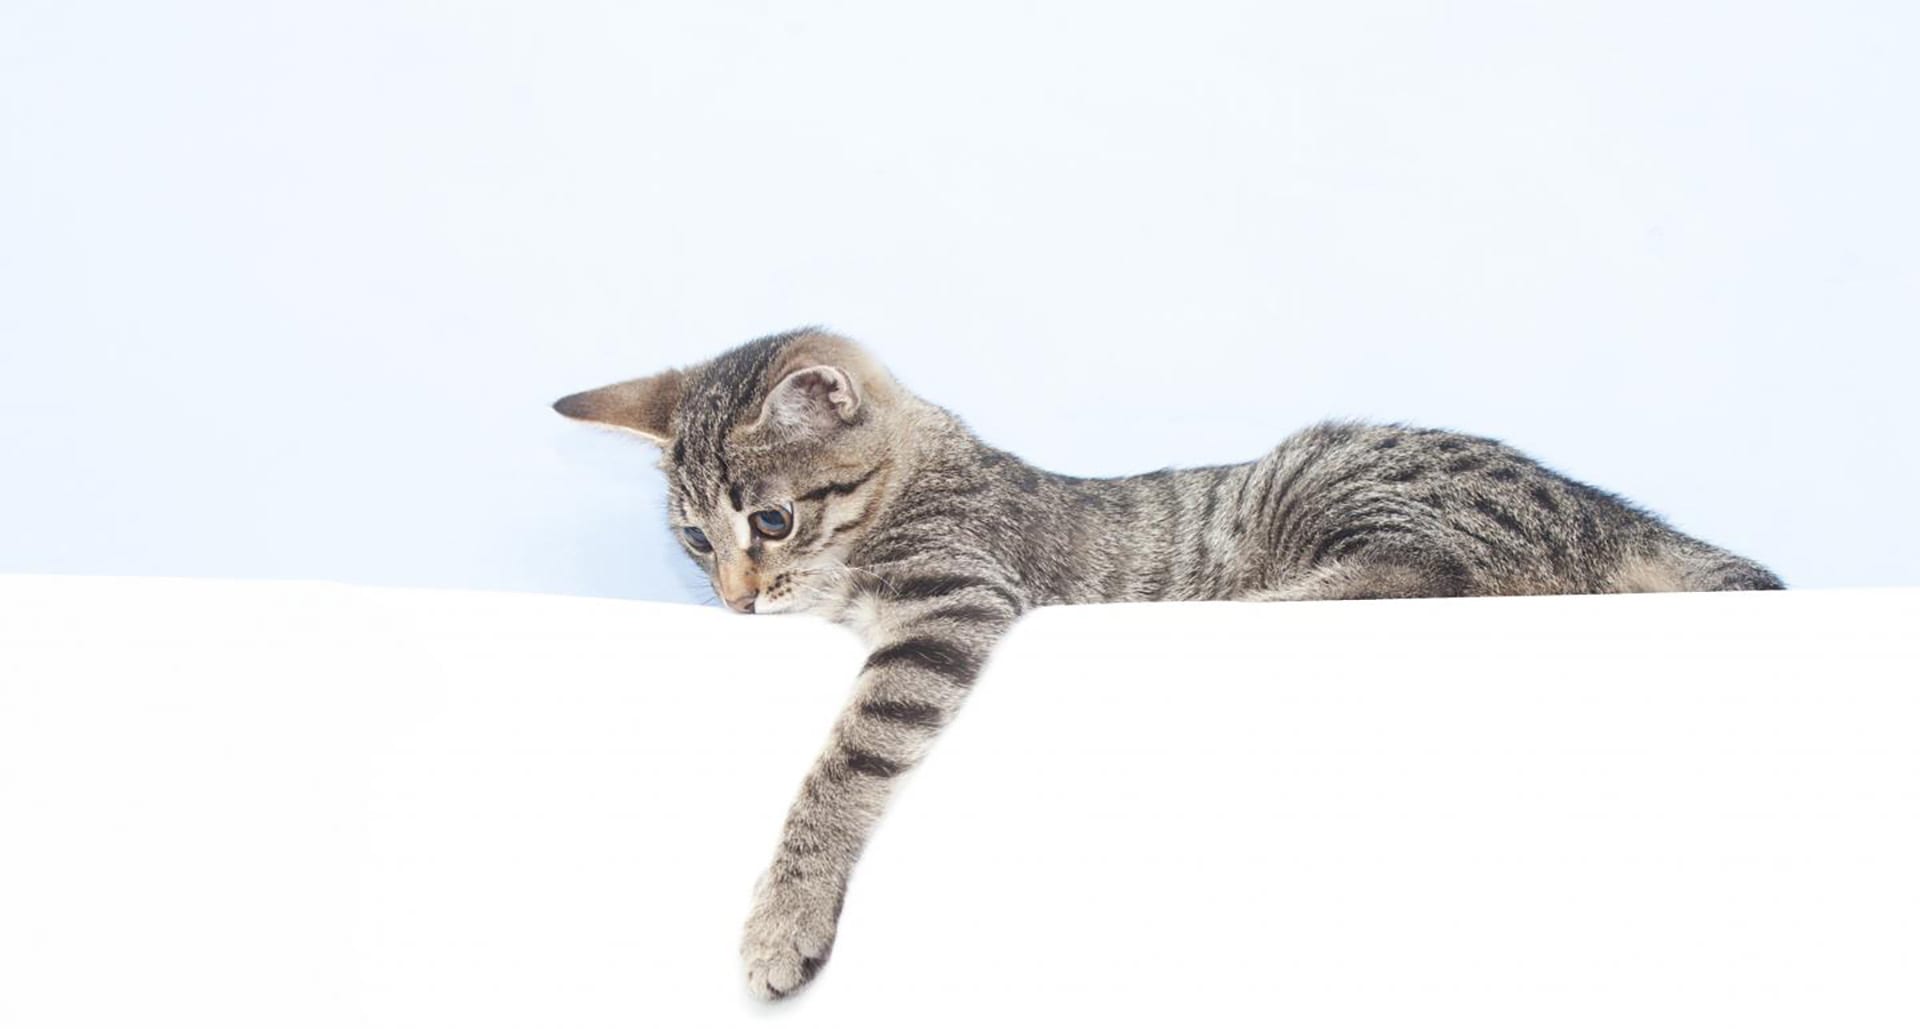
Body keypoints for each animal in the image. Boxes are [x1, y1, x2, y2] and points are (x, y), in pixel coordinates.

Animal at [556, 328, 1781, 998]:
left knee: (1434, 573)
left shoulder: (955, 597)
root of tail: (1615, 514)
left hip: (1333, 479)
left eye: (768, 520)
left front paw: (784, 916)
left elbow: (845, 762)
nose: (736, 599)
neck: (920, 480)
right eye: (694, 540)